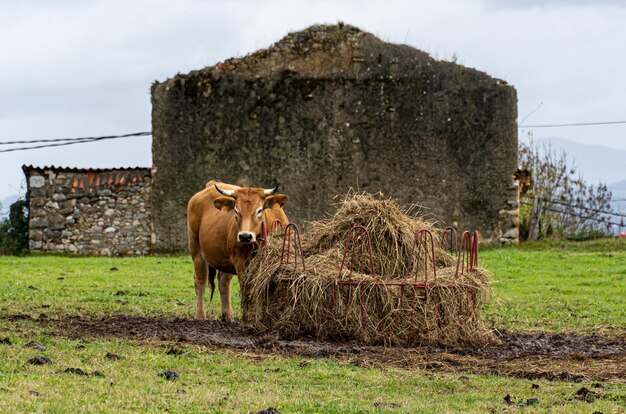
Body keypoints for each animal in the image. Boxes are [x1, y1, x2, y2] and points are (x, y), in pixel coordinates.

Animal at [185, 180, 288, 320]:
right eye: (236, 211)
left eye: (259, 210)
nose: (245, 236)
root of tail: (211, 185)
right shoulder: (241, 263)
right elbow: (246, 291)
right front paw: (248, 317)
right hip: (196, 248)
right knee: (200, 281)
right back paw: (200, 315)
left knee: (223, 282)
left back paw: (228, 316)